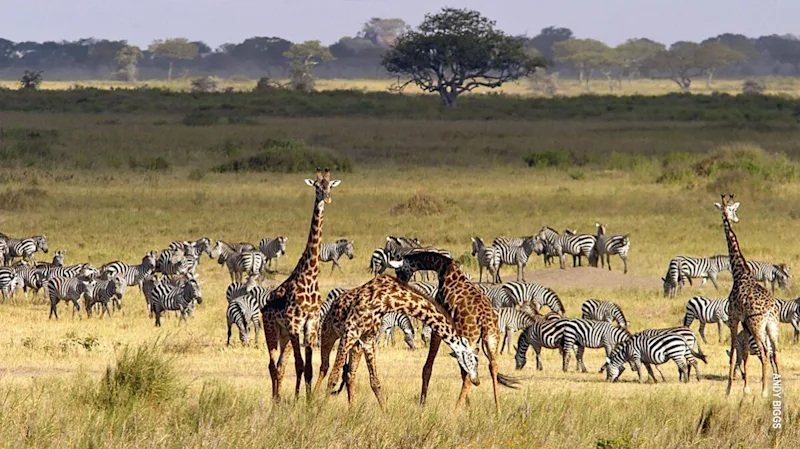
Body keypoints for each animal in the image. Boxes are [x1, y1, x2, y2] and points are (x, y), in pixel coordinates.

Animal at [261, 168, 341, 401]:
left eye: (330, 185)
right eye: (316, 186)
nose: (327, 198)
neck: (310, 275)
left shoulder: (310, 325)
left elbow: (308, 368)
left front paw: (307, 401)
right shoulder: (295, 323)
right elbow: (300, 365)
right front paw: (298, 401)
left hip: (285, 336)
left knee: (280, 365)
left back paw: (278, 399)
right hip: (272, 330)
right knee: (272, 365)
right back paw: (275, 401)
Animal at [312, 275, 478, 410]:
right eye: (473, 360)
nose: (476, 381)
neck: (388, 299)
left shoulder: (368, 339)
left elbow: (375, 381)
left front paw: (385, 413)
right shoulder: (350, 332)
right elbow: (333, 377)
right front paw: (321, 410)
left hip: (356, 345)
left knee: (349, 374)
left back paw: (351, 409)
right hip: (329, 333)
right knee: (324, 367)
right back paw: (311, 400)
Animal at [389, 248, 519, 411]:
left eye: (398, 270)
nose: (400, 283)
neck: (442, 267)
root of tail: (484, 319)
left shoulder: (438, 326)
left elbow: (428, 367)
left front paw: (422, 404)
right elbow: (461, 370)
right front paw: (469, 407)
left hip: (471, 338)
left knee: (470, 371)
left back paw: (456, 411)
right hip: (491, 337)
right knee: (492, 366)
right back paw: (498, 410)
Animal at [715, 193, 781, 397]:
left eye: (733, 209)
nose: (735, 218)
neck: (739, 273)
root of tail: (770, 310)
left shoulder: (734, 317)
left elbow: (733, 352)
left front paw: (728, 390)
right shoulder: (744, 323)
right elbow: (743, 353)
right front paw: (745, 388)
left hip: (757, 325)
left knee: (765, 351)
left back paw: (764, 391)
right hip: (772, 326)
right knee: (775, 352)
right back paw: (776, 388)